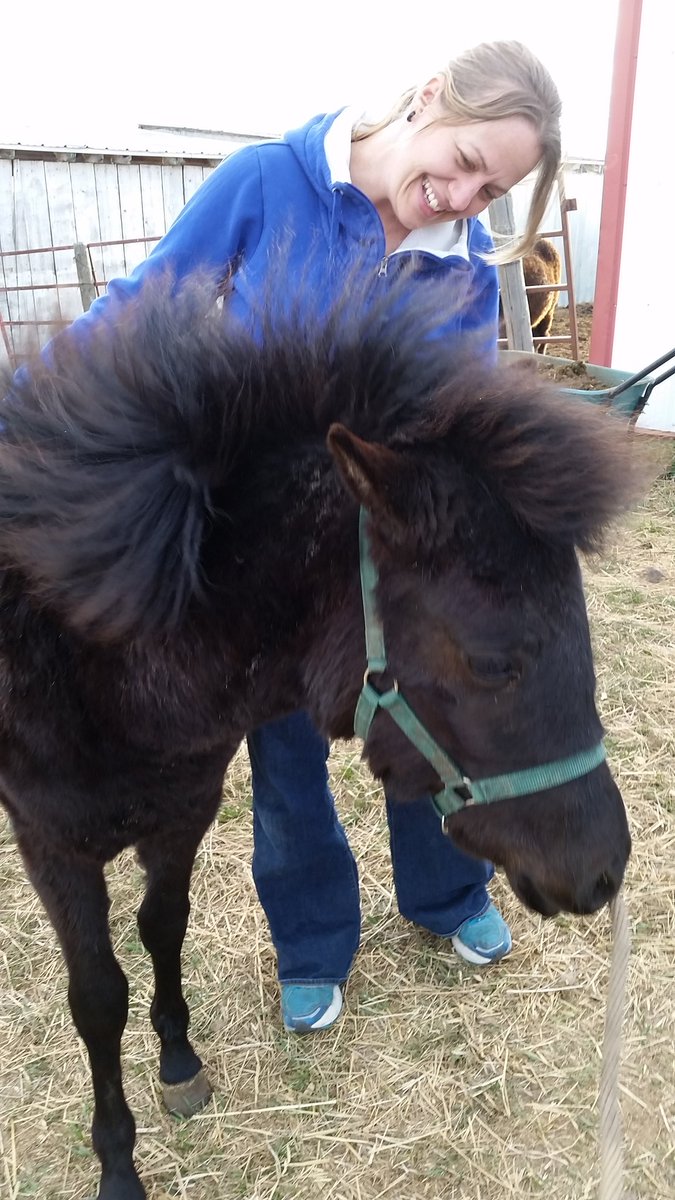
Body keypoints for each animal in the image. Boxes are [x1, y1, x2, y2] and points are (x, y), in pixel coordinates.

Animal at [0, 270, 639, 1200]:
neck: (93, 636)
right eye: (494, 662)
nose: (603, 870)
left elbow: (163, 927)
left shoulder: (183, 811)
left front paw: (178, 1061)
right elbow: (97, 995)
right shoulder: (52, 846)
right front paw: (118, 1162)